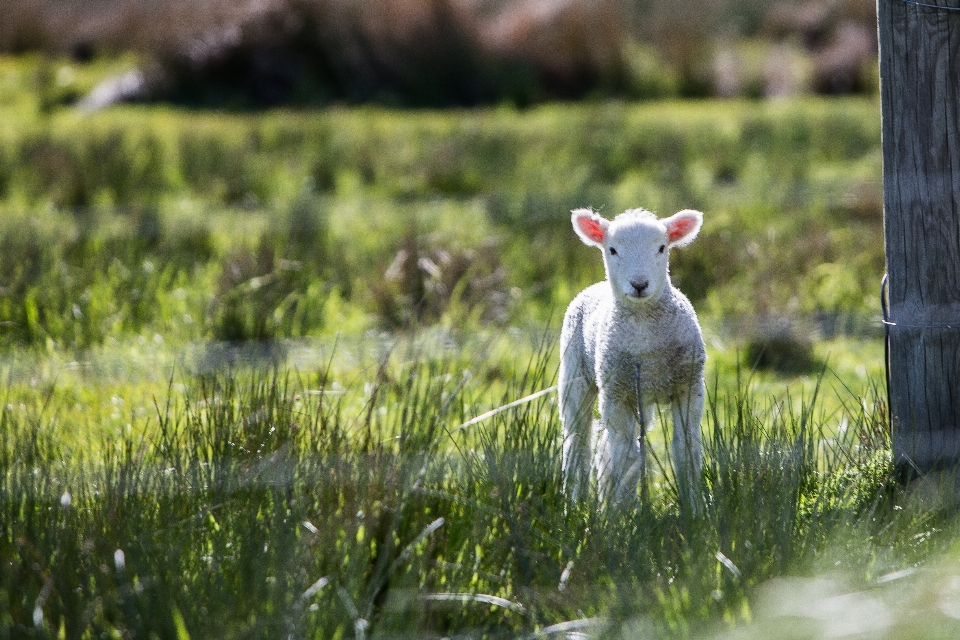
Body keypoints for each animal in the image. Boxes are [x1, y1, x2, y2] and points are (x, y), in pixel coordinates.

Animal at [560, 208, 708, 508]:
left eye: (662, 248)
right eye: (612, 250)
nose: (639, 284)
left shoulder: (689, 386)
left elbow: (686, 450)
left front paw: (694, 508)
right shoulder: (616, 394)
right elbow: (626, 457)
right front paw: (623, 512)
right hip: (575, 375)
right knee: (578, 442)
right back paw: (575, 503)